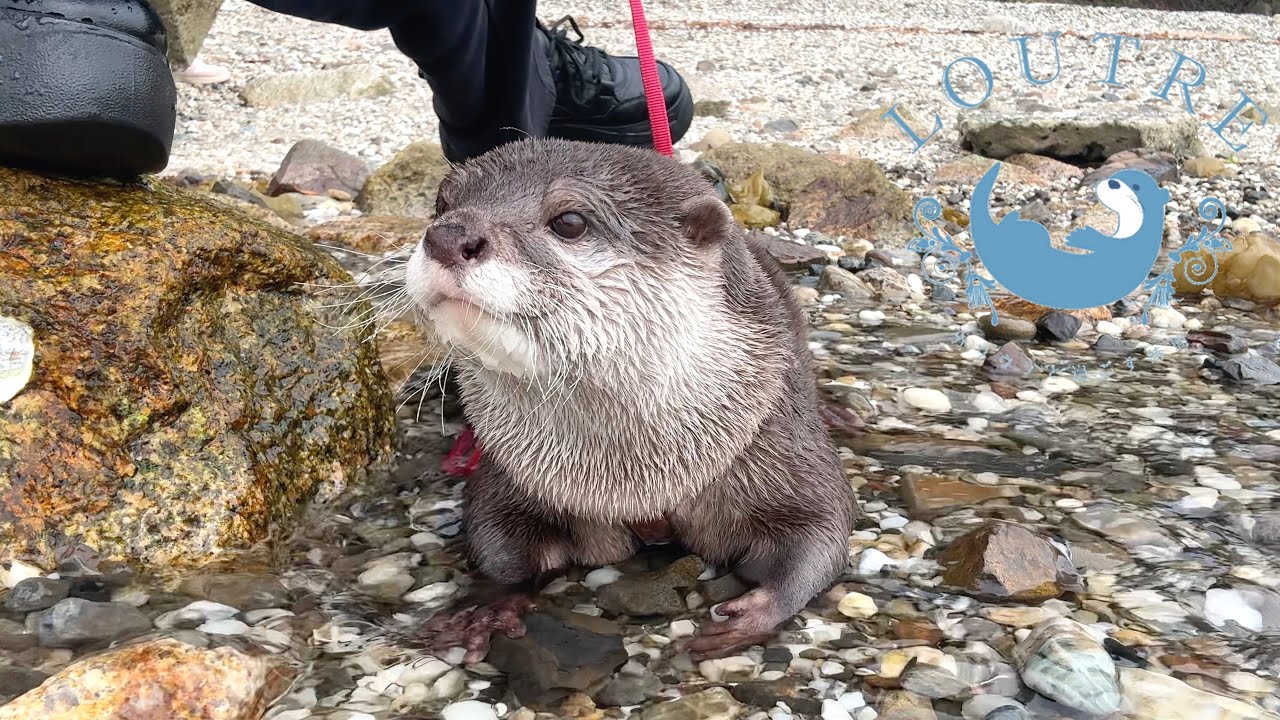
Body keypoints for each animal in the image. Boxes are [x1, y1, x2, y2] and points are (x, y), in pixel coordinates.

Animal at [404, 137, 855, 661]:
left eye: (570, 221)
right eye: (441, 205)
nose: (448, 236)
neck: (635, 478)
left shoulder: (773, 441)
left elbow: (823, 527)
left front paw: (756, 612)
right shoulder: (513, 469)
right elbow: (495, 536)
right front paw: (490, 602)